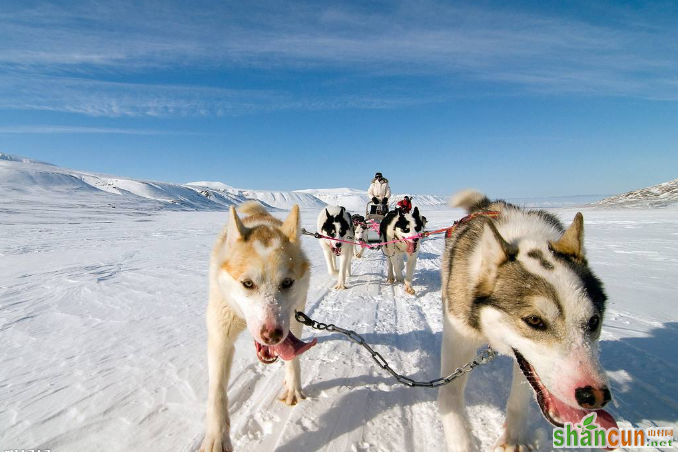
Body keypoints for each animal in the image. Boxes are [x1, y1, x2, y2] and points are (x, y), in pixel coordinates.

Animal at [202, 203, 318, 450]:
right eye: (247, 283)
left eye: (287, 283)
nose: (272, 334)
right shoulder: (220, 333)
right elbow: (217, 390)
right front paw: (217, 436)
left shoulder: (293, 320)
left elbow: (293, 359)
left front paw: (293, 387)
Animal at [438, 189, 620, 450]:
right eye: (534, 320)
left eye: (594, 321)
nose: (594, 396)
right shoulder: (458, 339)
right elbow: (449, 398)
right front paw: (462, 443)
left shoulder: (524, 360)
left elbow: (520, 396)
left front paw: (514, 439)